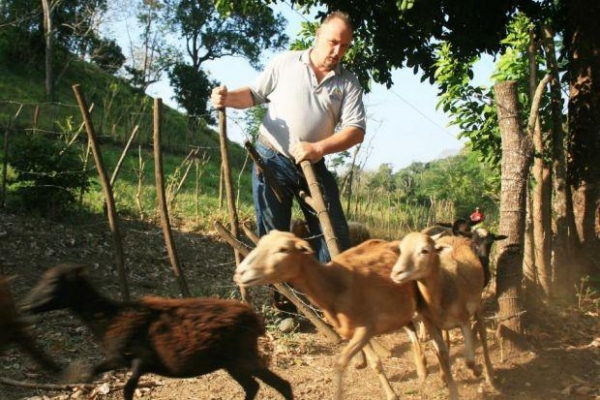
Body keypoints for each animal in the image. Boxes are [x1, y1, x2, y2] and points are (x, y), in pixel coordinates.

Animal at [22, 262, 292, 400]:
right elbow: (97, 373)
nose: (26, 305)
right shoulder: (125, 360)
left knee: (274, 384)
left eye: (55, 282)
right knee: (261, 386)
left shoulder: (138, 358)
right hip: (234, 361)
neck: (110, 318)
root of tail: (255, 319)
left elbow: (126, 388)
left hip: (240, 357)